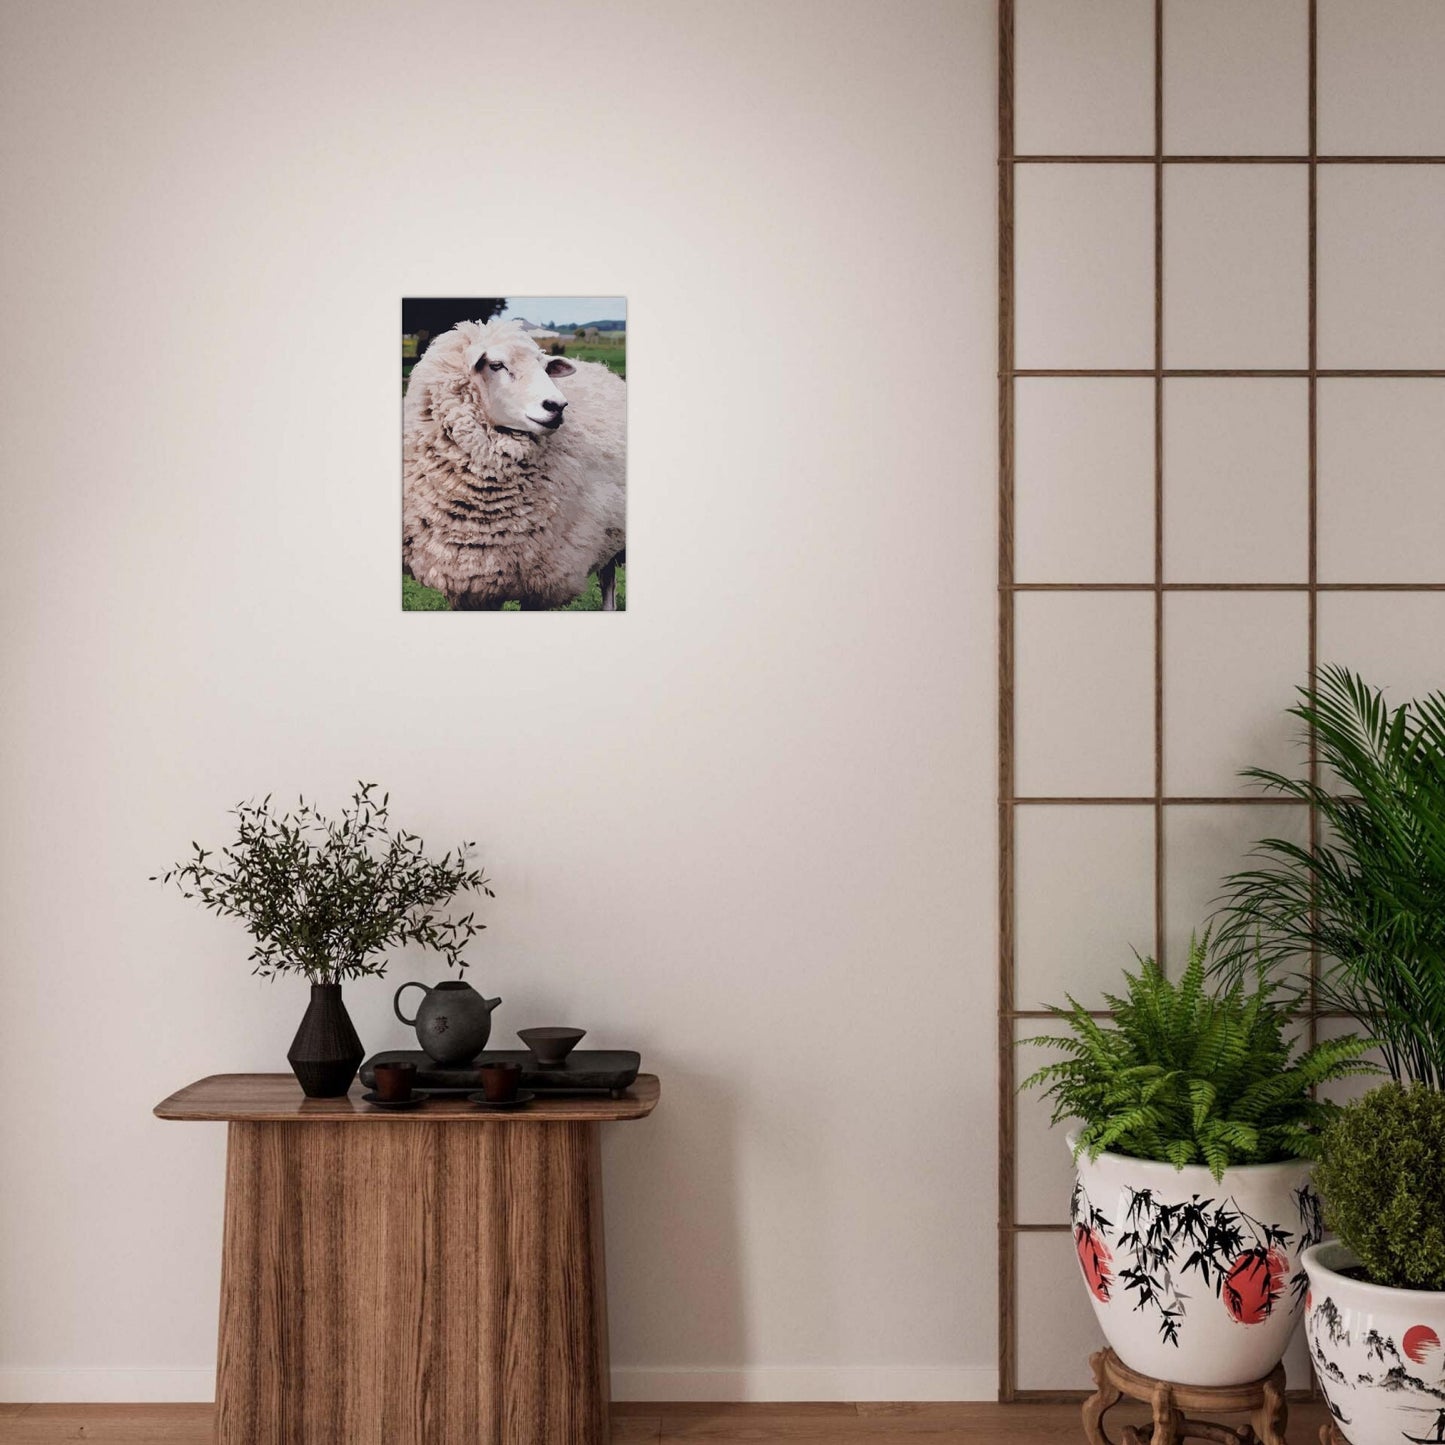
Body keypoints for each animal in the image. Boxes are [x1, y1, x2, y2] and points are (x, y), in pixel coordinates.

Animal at [403, 319, 626, 610]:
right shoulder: (469, 581)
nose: (558, 405)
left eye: (545, 367)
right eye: (496, 365)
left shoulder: (541, 580)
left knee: (608, 577)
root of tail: (603, 370)